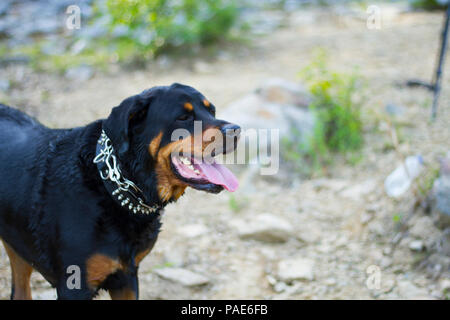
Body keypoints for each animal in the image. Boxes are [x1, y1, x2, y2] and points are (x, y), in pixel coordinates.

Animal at [0, 84, 239, 298]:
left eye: (211, 111)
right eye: (183, 117)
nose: (235, 130)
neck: (109, 186)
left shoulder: (127, 277)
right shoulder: (74, 284)